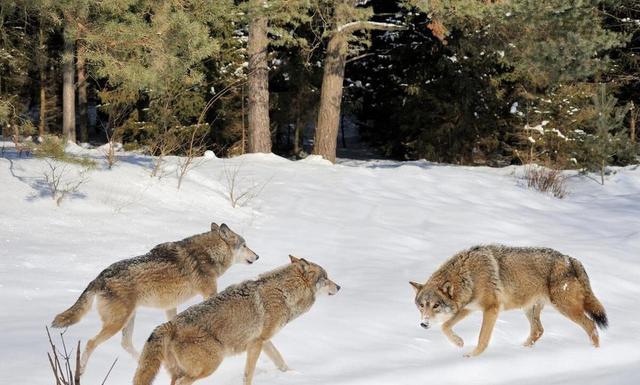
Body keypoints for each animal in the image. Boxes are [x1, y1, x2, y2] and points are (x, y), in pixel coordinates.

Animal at [50, 222, 258, 372]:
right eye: (245, 245)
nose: (257, 256)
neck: (209, 253)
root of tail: (99, 277)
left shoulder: (170, 305)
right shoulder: (209, 292)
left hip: (128, 319)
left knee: (126, 344)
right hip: (117, 322)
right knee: (91, 343)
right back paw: (81, 370)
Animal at [134, 255, 340, 384]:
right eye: (326, 278)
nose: (339, 287)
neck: (284, 293)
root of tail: (168, 325)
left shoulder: (263, 341)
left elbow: (280, 360)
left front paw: (293, 375)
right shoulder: (256, 344)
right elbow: (248, 374)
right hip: (211, 365)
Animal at [412, 244, 608, 356]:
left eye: (436, 305)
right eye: (422, 306)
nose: (423, 324)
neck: (468, 276)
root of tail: (571, 259)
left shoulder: (491, 309)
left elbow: (482, 338)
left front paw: (472, 356)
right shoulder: (468, 308)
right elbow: (445, 326)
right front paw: (459, 342)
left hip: (565, 308)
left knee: (591, 325)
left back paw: (595, 353)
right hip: (530, 309)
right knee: (538, 331)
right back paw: (521, 350)